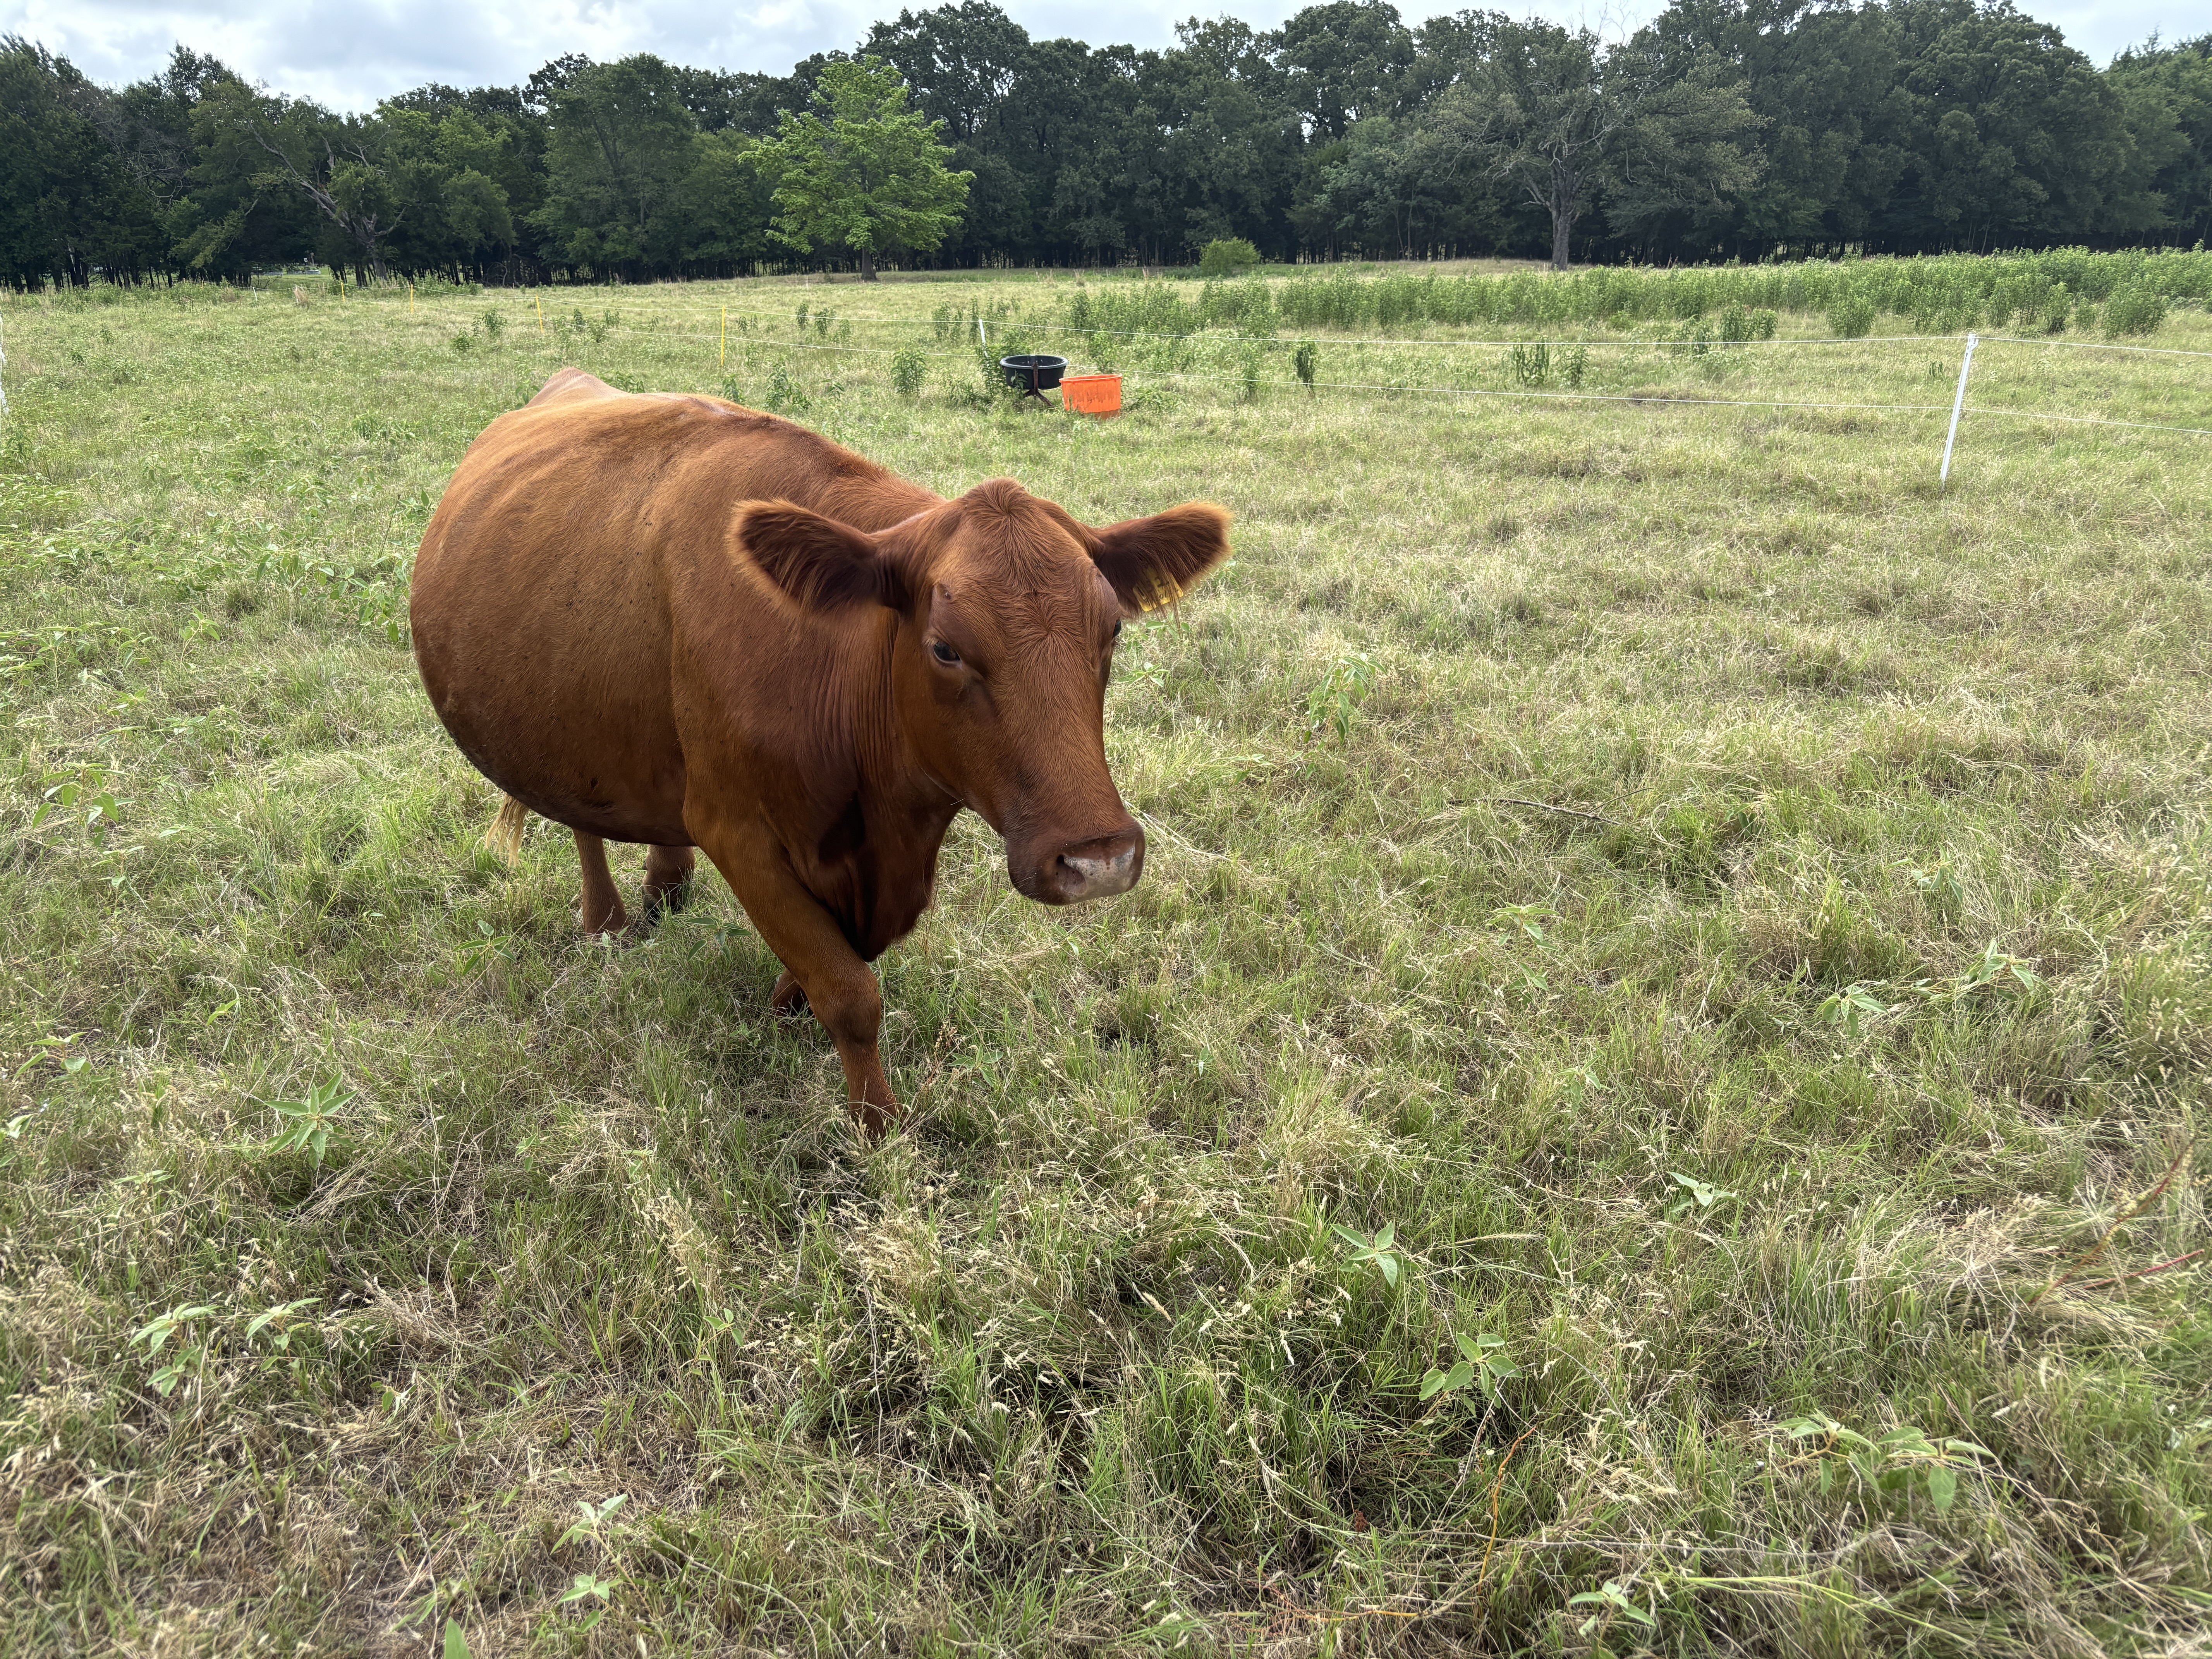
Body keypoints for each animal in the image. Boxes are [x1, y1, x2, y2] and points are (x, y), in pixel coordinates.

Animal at [410, 369, 1231, 1135]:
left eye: (1112, 629)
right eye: (944, 648)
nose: (1097, 858)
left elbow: (826, 961)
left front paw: (785, 1001)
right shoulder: (735, 829)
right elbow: (849, 990)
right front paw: (876, 1127)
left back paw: (667, 883)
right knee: (582, 818)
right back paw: (606, 918)